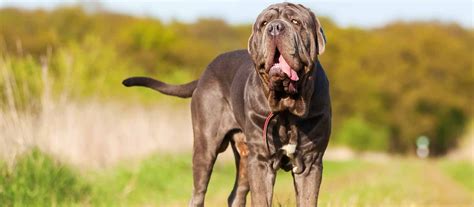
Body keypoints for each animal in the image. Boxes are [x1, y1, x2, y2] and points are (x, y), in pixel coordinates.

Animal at [122, 2, 330, 206]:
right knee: (198, 192)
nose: (275, 27)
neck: (286, 106)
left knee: (236, 194)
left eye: (296, 22)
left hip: (244, 157)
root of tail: (203, 75)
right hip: (206, 145)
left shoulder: (310, 162)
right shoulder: (261, 162)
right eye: (264, 24)